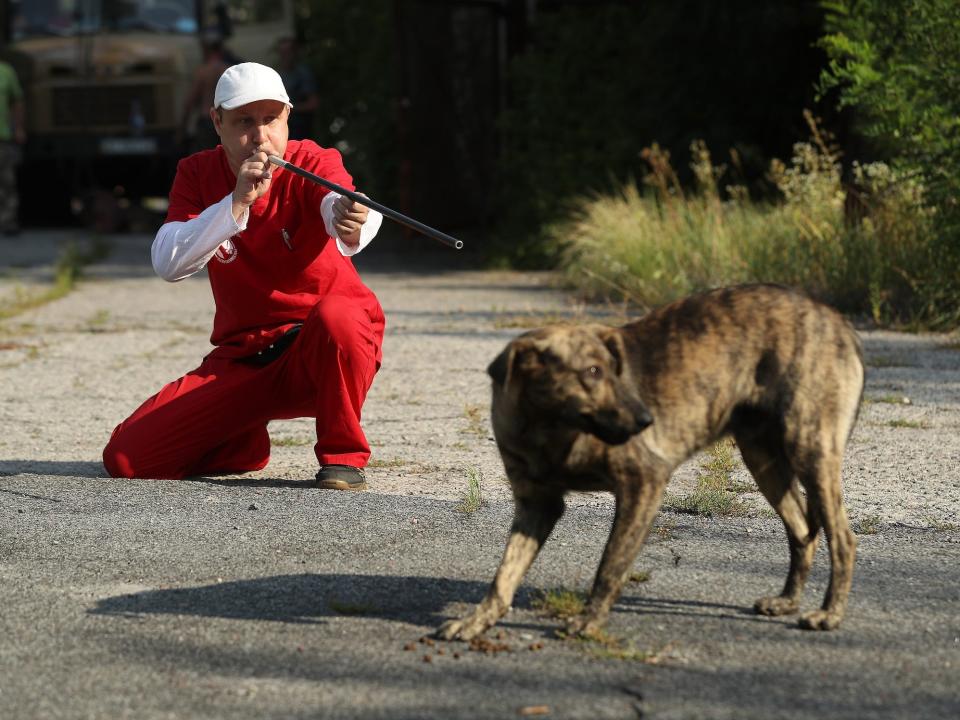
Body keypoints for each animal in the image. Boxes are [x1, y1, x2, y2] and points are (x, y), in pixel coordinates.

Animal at [438, 284, 868, 640]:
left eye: (614, 371)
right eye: (592, 372)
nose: (647, 420)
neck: (549, 426)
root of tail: (837, 320)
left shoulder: (643, 482)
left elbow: (610, 564)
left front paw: (590, 620)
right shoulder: (537, 505)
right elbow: (504, 574)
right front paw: (478, 620)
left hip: (810, 448)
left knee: (842, 537)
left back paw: (829, 613)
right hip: (764, 459)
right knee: (803, 531)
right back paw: (788, 601)